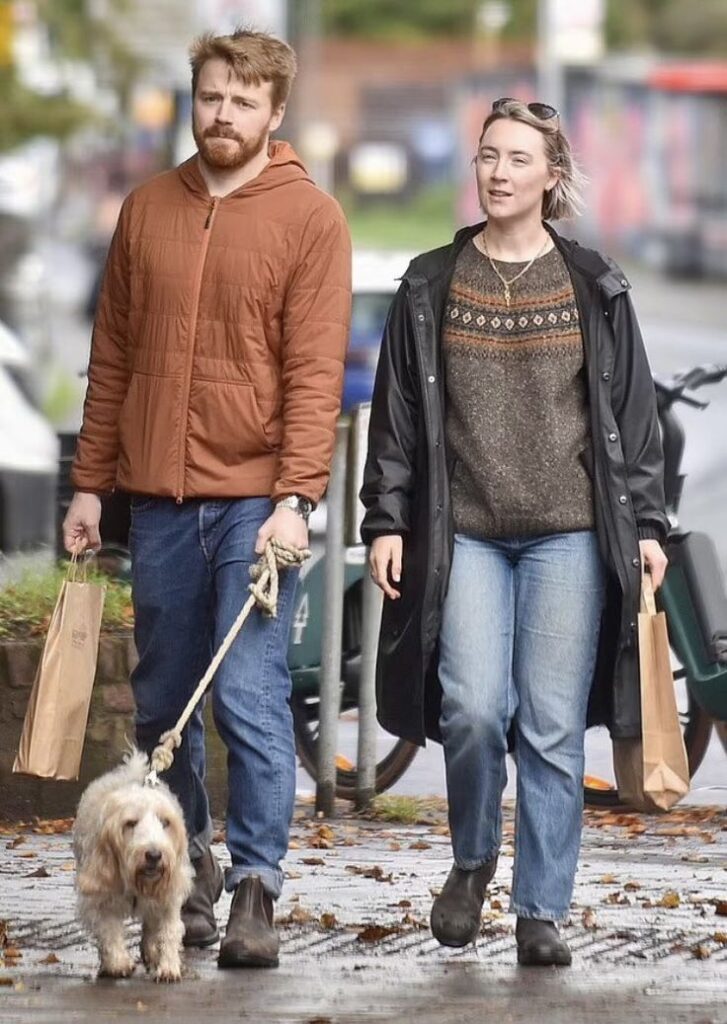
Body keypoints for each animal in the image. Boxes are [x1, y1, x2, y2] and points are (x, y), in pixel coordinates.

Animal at [74, 753, 193, 983]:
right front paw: (118, 963)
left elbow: (169, 930)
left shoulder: (169, 896)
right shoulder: (99, 897)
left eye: (165, 822)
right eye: (130, 823)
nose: (154, 855)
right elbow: (108, 930)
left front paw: (168, 966)